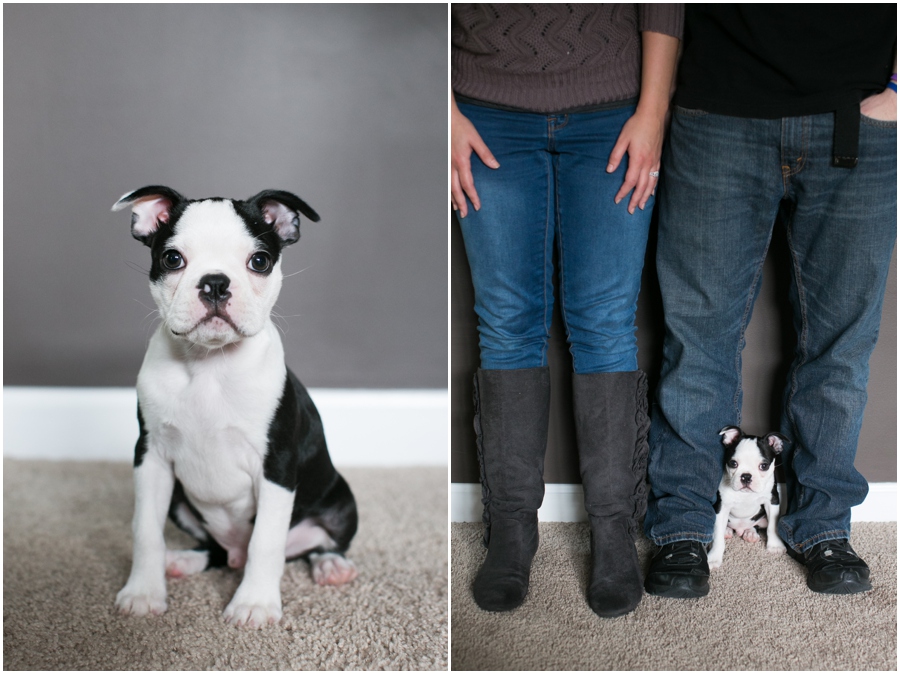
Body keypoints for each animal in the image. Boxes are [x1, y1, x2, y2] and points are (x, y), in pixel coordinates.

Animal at [109, 184, 356, 624]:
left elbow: (266, 541)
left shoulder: (276, 466)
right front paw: (143, 592)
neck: (211, 365)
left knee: (316, 544)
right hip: (180, 503)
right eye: (172, 259)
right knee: (217, 552)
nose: (214, 283)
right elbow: (145, 531)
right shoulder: (150, 457)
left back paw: (331, 565)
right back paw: (185, 560)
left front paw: (253, 604)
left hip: (342, 499)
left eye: (259, 261)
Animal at [708, 426, 784, 568]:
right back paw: (727, 531)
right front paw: (714, 558)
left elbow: (773, 526)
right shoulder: (721, 506)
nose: (746, 476)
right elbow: (717, 536)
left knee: (756, 525)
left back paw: (750, 533)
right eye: (733, 463)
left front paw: (775, 546)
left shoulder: (772, 501)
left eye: (764, 466)